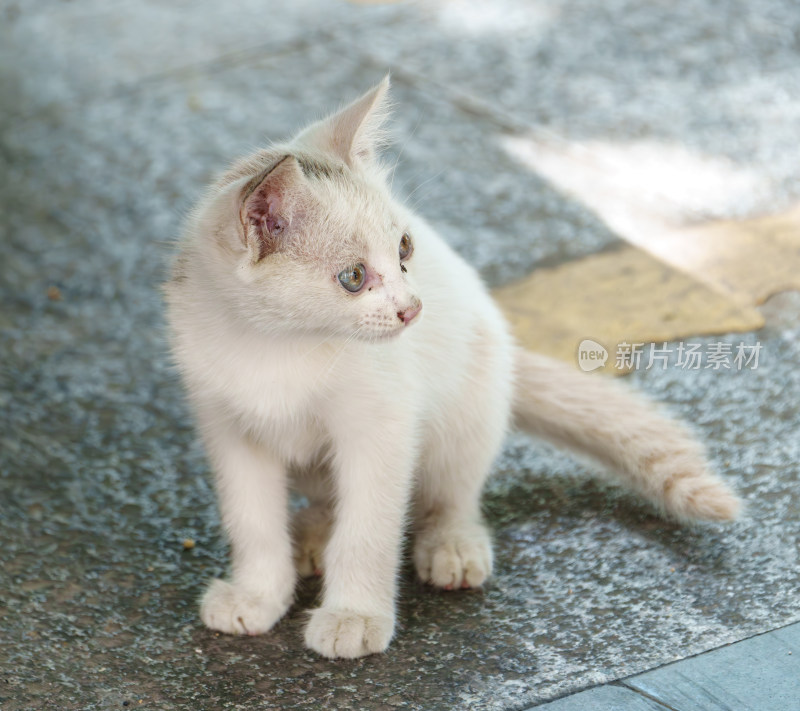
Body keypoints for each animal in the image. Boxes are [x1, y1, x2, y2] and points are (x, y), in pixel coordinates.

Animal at [164, 78, 744, 660]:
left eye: (404, 247)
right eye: (353, 277)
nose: (412, 309)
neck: (275, 348)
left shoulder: (382, 426)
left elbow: (369, 528)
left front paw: (354, 616)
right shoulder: (228, 429)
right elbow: (252, 522)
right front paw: (257, 596)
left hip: (467, 404)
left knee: (451, 491)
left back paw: (451, 543)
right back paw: (312, 533)